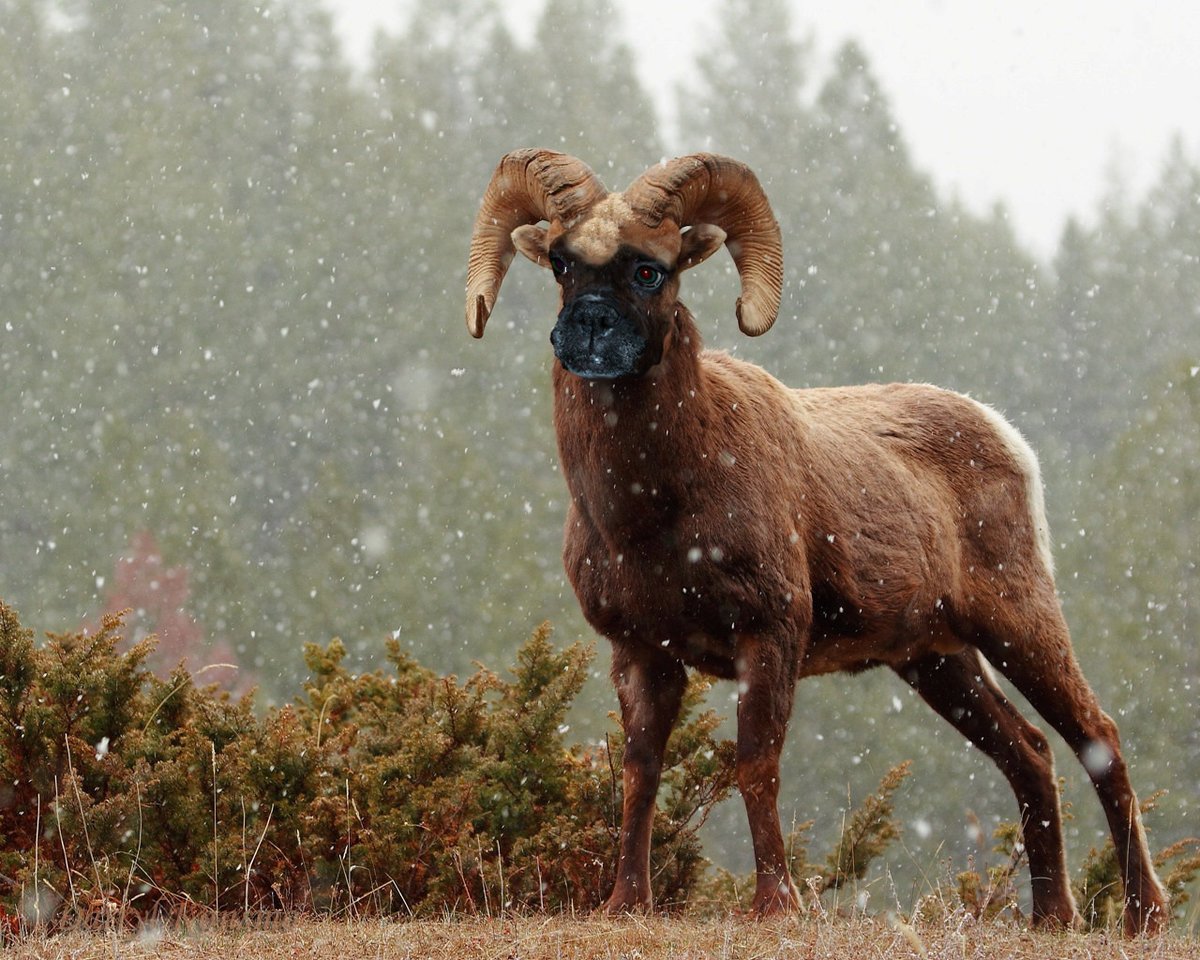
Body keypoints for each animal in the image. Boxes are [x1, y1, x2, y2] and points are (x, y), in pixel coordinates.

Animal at [463, 150, 1166, 936]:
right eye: (561, 263)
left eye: (652, 269)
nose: (586, 328)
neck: (647, 513)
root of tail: (1007, 437)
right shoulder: (641, 652)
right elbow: (639, 771)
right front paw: (625, 904)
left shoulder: (769, 634)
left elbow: (756, 766)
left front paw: (776, 905)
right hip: (937, 661)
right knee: (1031, 754)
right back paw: (1050, 917)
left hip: (1017, 621)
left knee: (1097, 736)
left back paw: (1144, 915)